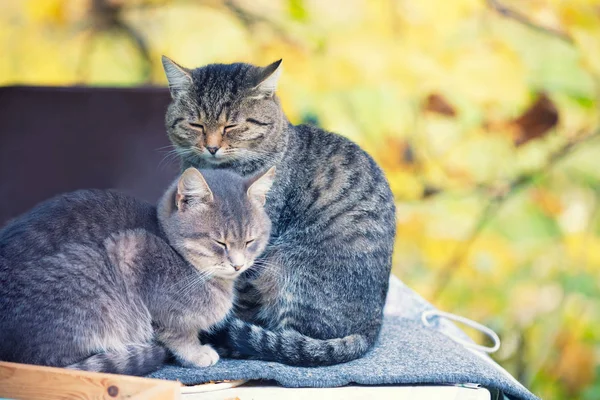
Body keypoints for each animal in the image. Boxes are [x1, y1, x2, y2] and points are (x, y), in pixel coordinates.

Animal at [0, 167, 276, 374]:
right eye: (220, 242)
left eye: (250, 241)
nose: (238, 264)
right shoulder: (136, 255)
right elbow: (177, 333)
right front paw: (196, 352)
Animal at [162, 56, 396, 366]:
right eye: (196, 124)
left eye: (231, 126)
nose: (211, 147)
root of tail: (373, 325)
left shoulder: (252, 247)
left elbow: (240, 297)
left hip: (290, 266)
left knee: (291, 341)